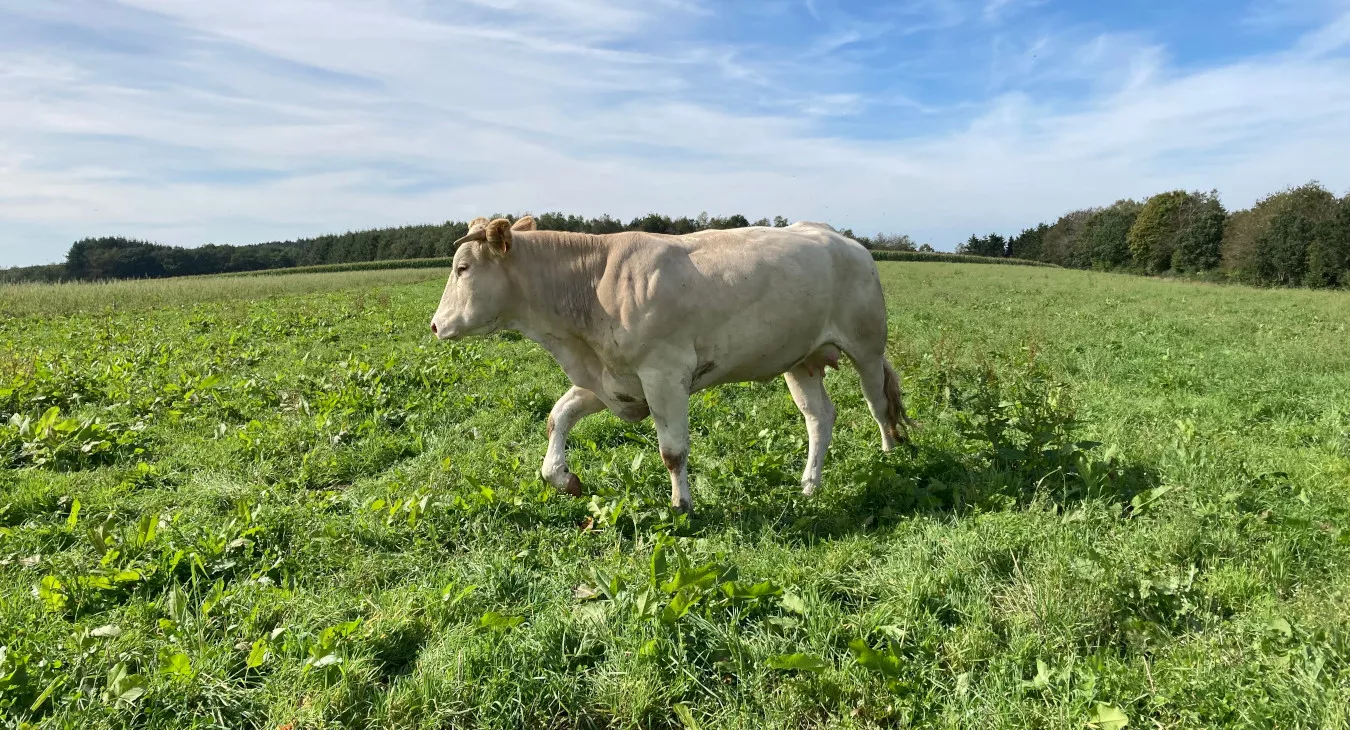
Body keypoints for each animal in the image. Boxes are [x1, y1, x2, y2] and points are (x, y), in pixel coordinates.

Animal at [432, 215, 912, 512]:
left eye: (462, 268)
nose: (435, 325)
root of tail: (843, 239)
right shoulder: (611, 379)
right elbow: (558, 416)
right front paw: (563, 477)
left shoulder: (663, 375)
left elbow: (672, 451)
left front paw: (682, 506)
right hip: (801, 359)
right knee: (820, 417)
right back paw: (810, 484)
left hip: (866, 346)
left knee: (878, 404)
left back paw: (891, 457)